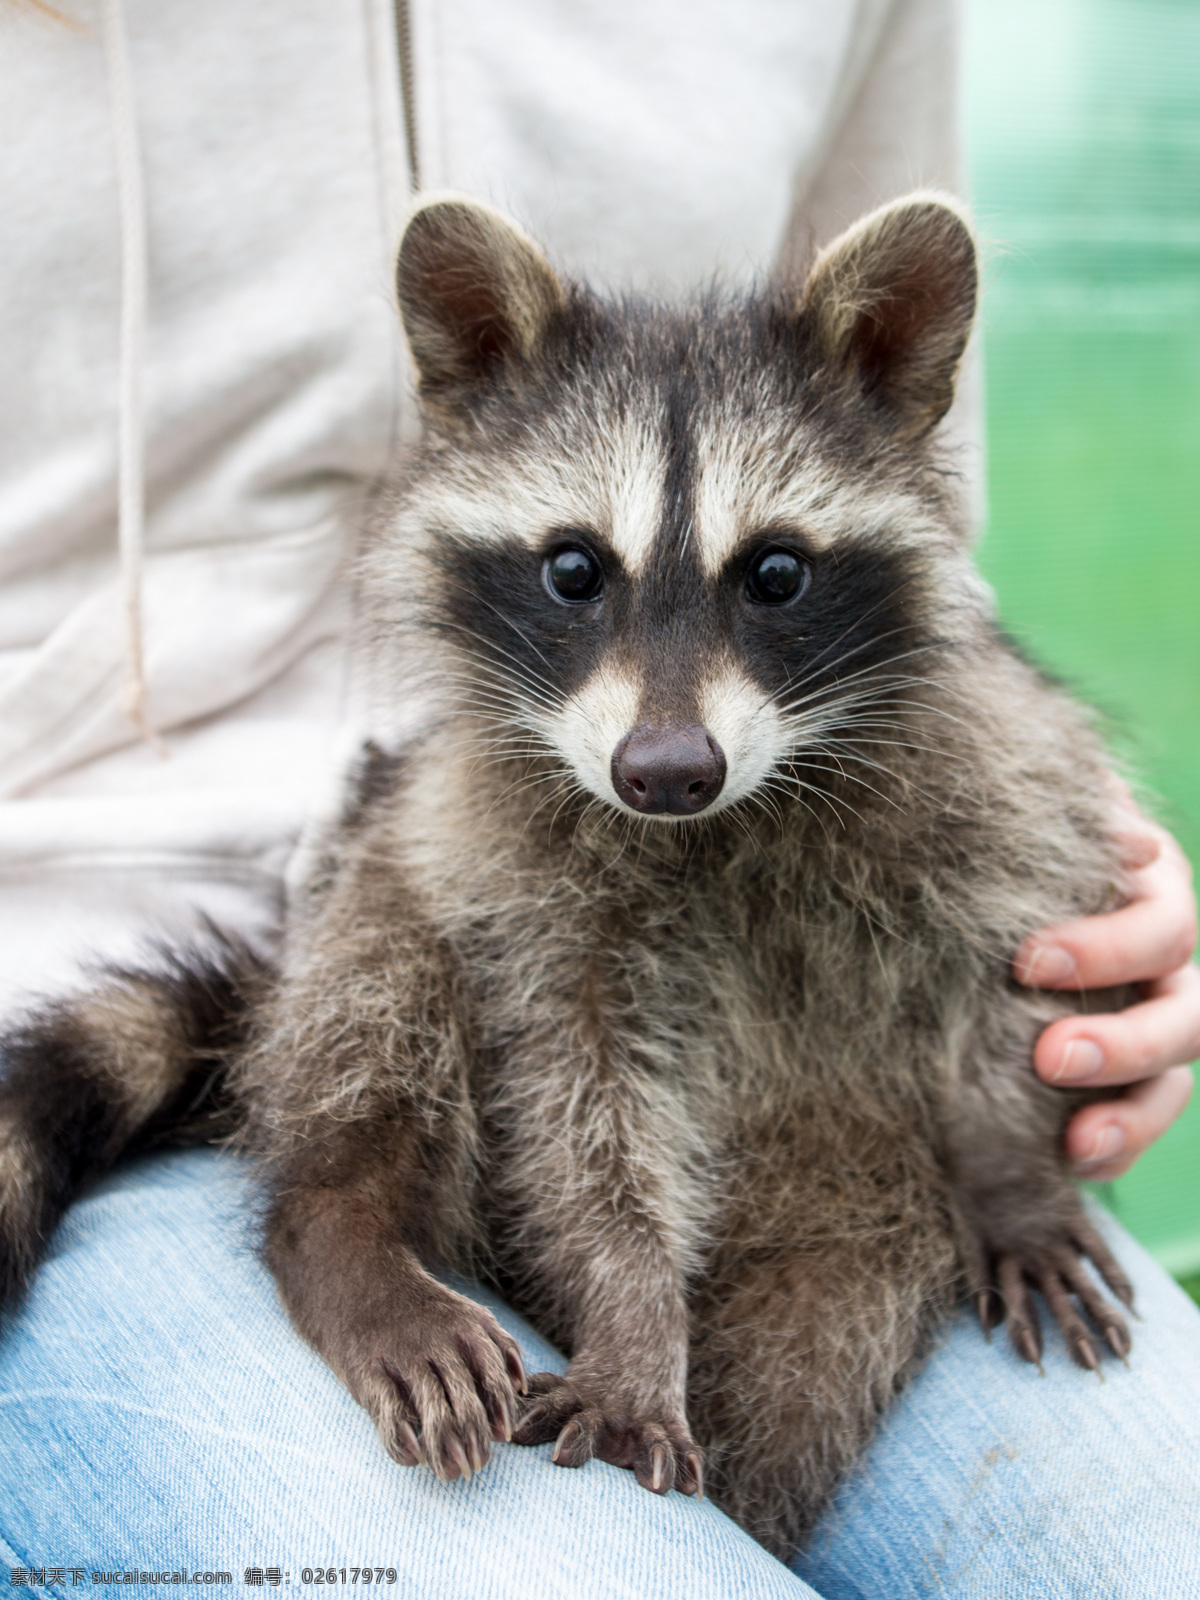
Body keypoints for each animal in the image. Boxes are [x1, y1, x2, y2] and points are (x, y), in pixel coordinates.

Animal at [0, 193, 1139, 1555]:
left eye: (776, 573)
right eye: (574, 570)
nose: (666, 771)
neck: (729, 817)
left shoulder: (991, 773)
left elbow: (1019, 953)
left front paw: (1017, 1171)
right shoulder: (530, 894)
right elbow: (584, 1112)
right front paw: (632, 1318)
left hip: (855, 1206)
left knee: (803, 1366)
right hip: (410, 849)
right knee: (385, 969)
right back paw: (344, 1222)